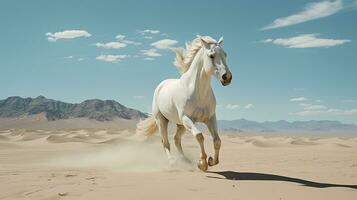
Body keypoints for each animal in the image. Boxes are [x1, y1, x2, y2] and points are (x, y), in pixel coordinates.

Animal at [136, 35, 231, 171]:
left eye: (225, 54)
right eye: (211, 55)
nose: (227, 77)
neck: (198, 91)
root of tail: (161, 85)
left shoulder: (210, 118)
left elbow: (217, 141)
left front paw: (211, 161)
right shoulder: (187, 118)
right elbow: (199, 136)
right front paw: (202, 163)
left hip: (180, 125)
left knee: (176, 139)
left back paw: (185, 160)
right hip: (162, 120)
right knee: (165, 142)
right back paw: (172, 162)